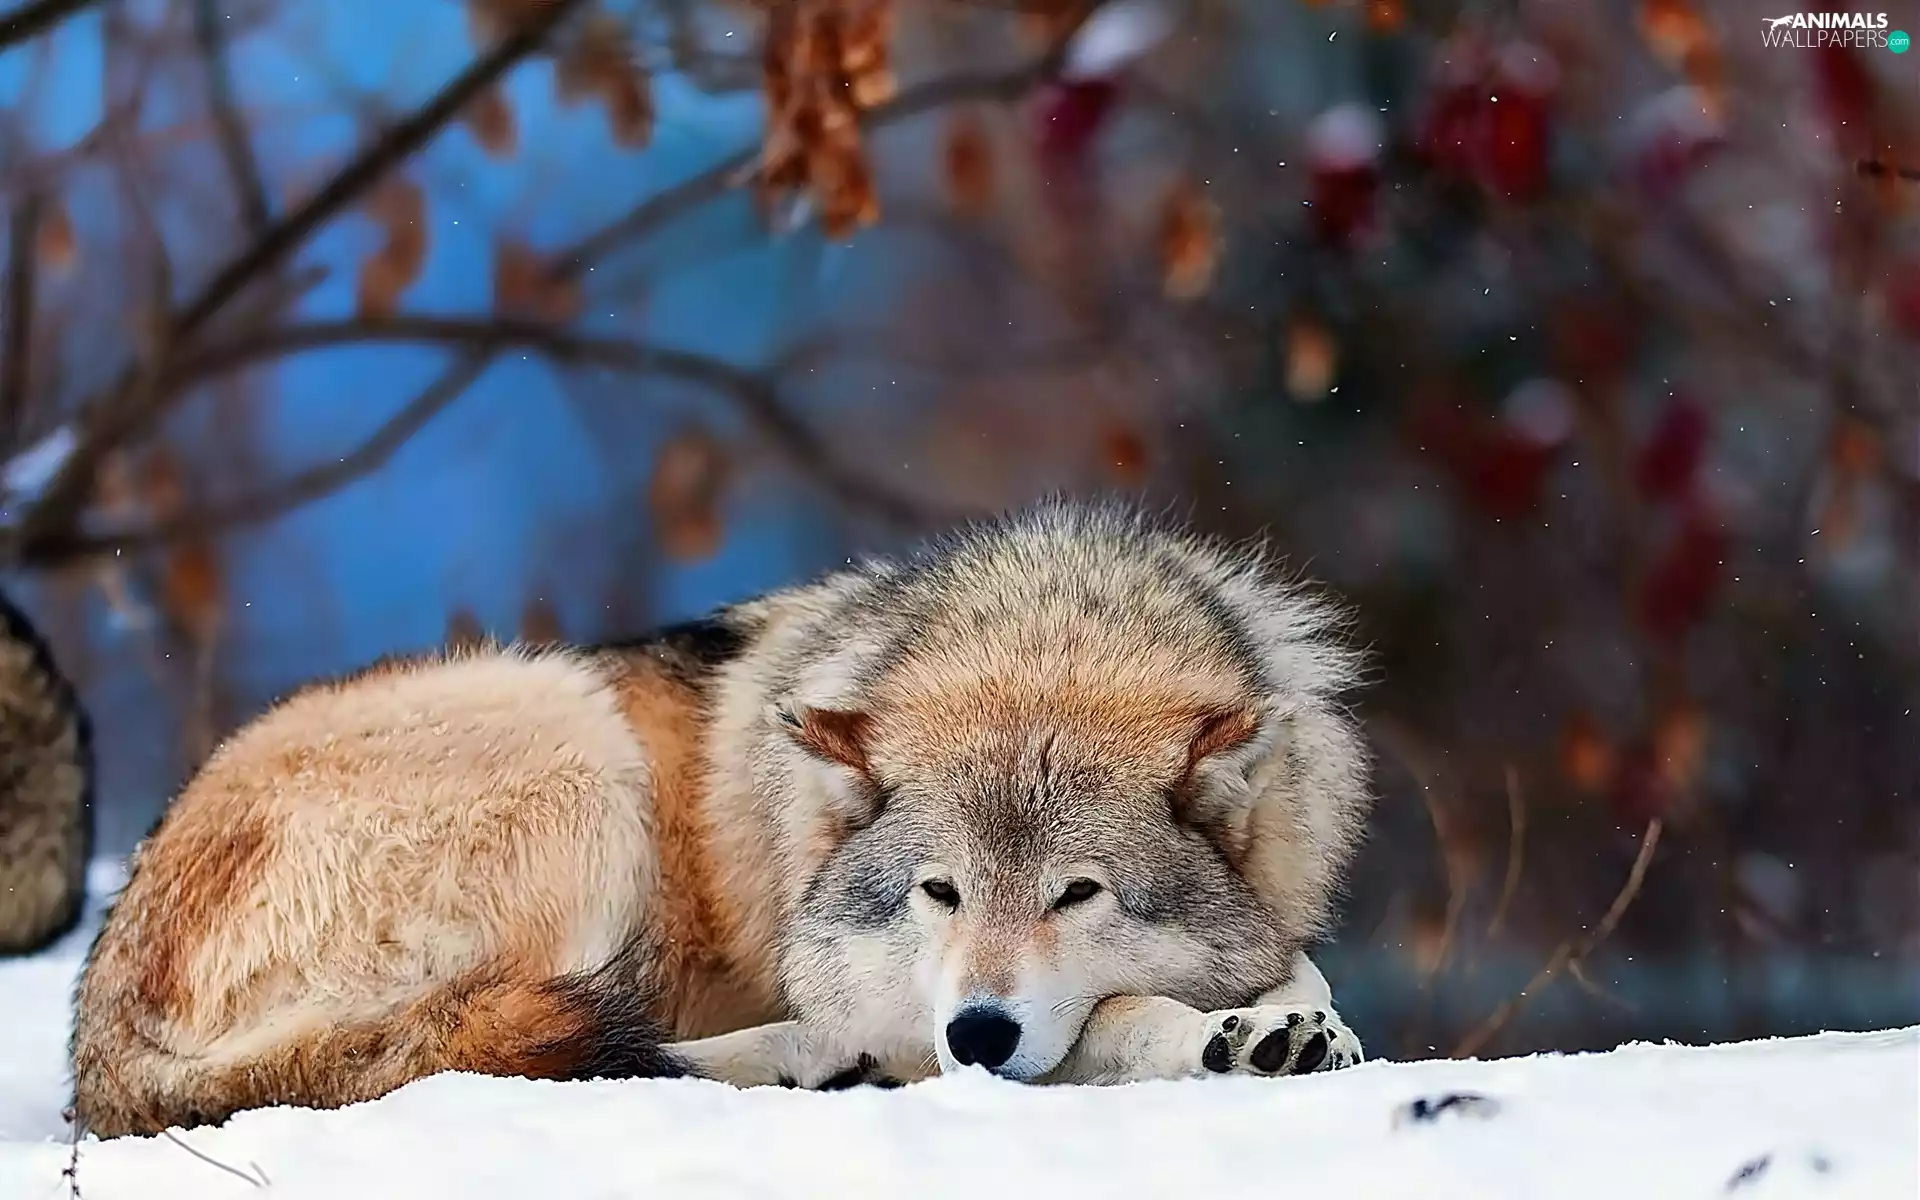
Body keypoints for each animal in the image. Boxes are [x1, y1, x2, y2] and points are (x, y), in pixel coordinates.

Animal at [71, 500, 1372, 1137]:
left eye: (1078, 893)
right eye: (938, 892)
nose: (978, 1032)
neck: (1048, 629)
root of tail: (99, 1026)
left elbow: (1295, 964)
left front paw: (1291, 1023)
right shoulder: (906, 999)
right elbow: (1110, 1019)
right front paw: (1223, 1039)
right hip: (575, 748)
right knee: (532, 1056)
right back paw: (821, 1063)